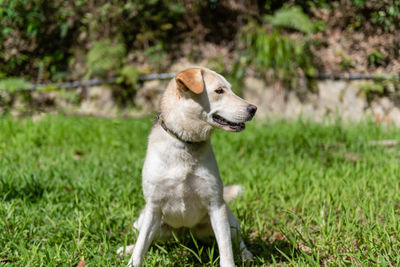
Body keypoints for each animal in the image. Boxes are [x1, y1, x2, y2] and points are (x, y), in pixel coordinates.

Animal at [118, 67, 256, 267]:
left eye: (230, 89)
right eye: (219, 91)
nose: (254, 108)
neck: (185, 143)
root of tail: (185, 232)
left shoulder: (216, 206)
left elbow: (226, 248)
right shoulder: (153, 207)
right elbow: (142, 244)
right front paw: (132, 260)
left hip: (230, 221)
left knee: (237, 240)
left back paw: (246, 255)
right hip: (144, 220)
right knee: (144, 239)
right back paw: (126, 249)